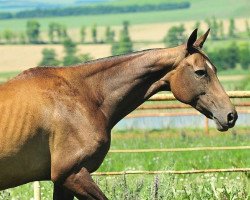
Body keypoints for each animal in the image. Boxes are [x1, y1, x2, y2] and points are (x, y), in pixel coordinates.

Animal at [0, 28, 237, 199]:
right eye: (201, 72)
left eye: (215, 69)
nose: (230, 115)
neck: (84, 96)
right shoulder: (72, 174)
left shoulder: (62, 181)